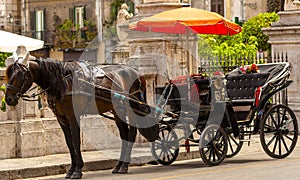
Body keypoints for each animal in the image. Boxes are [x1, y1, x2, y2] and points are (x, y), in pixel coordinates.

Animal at [4, 46, 159, 179]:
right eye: (9, 74)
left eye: (20, 75)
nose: (9, 99)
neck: (62, 82)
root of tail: (138, 74)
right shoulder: (62, 119)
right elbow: (69, 143)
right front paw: (71, 169)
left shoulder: (73, 117)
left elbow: (76, 141)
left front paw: (78, 170)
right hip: (117, 110)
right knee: (124, 135)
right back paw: (119, 165)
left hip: (130, 110)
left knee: (131, 134)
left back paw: (125, 165)